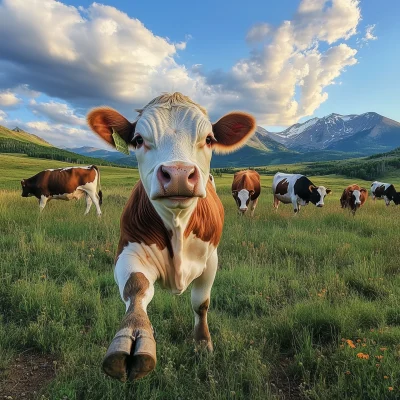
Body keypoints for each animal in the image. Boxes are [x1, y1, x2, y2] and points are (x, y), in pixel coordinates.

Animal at [87, 91, 256, 382]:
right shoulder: (128, 250)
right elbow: (136, 287)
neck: (177, 226)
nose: (178, 174)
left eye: (209, 139)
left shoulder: (211, 259)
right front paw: (134, 332)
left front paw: (202, 343)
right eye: (138, 140)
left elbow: (201, 304)